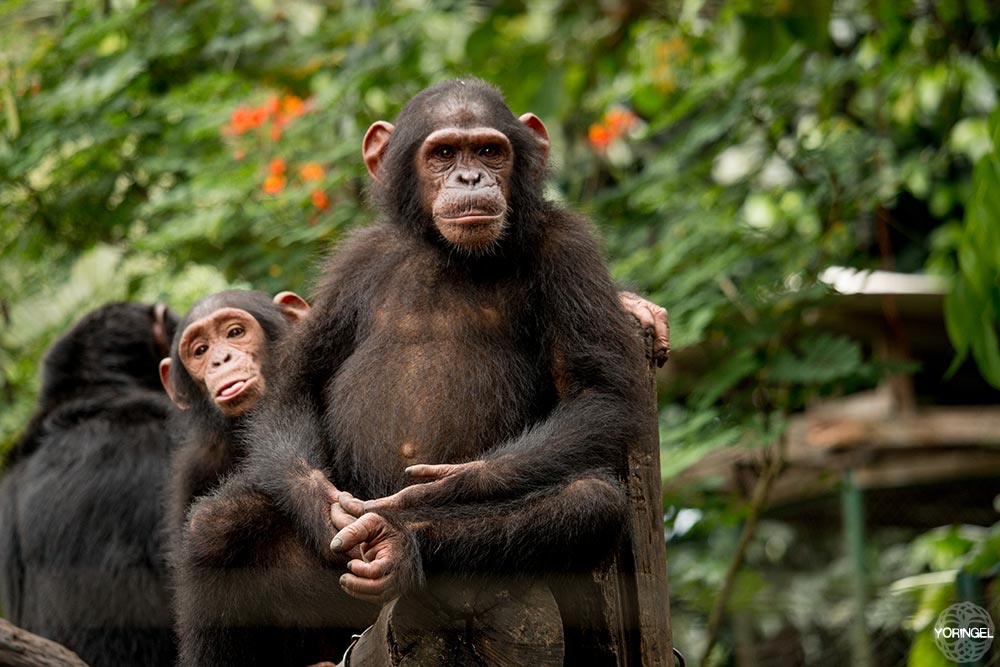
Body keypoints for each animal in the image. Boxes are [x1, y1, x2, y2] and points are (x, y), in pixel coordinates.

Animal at [170, 79, 656, 667]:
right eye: (444, 154)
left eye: (489, 151)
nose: (471, 178)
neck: (447, 253)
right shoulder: (352, 265)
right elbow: (294, 388)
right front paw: (325, 508)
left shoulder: (570, 250)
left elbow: (596, 394)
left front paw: (437, 491)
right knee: (218, 524)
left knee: (589, 500)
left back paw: (402, 541)